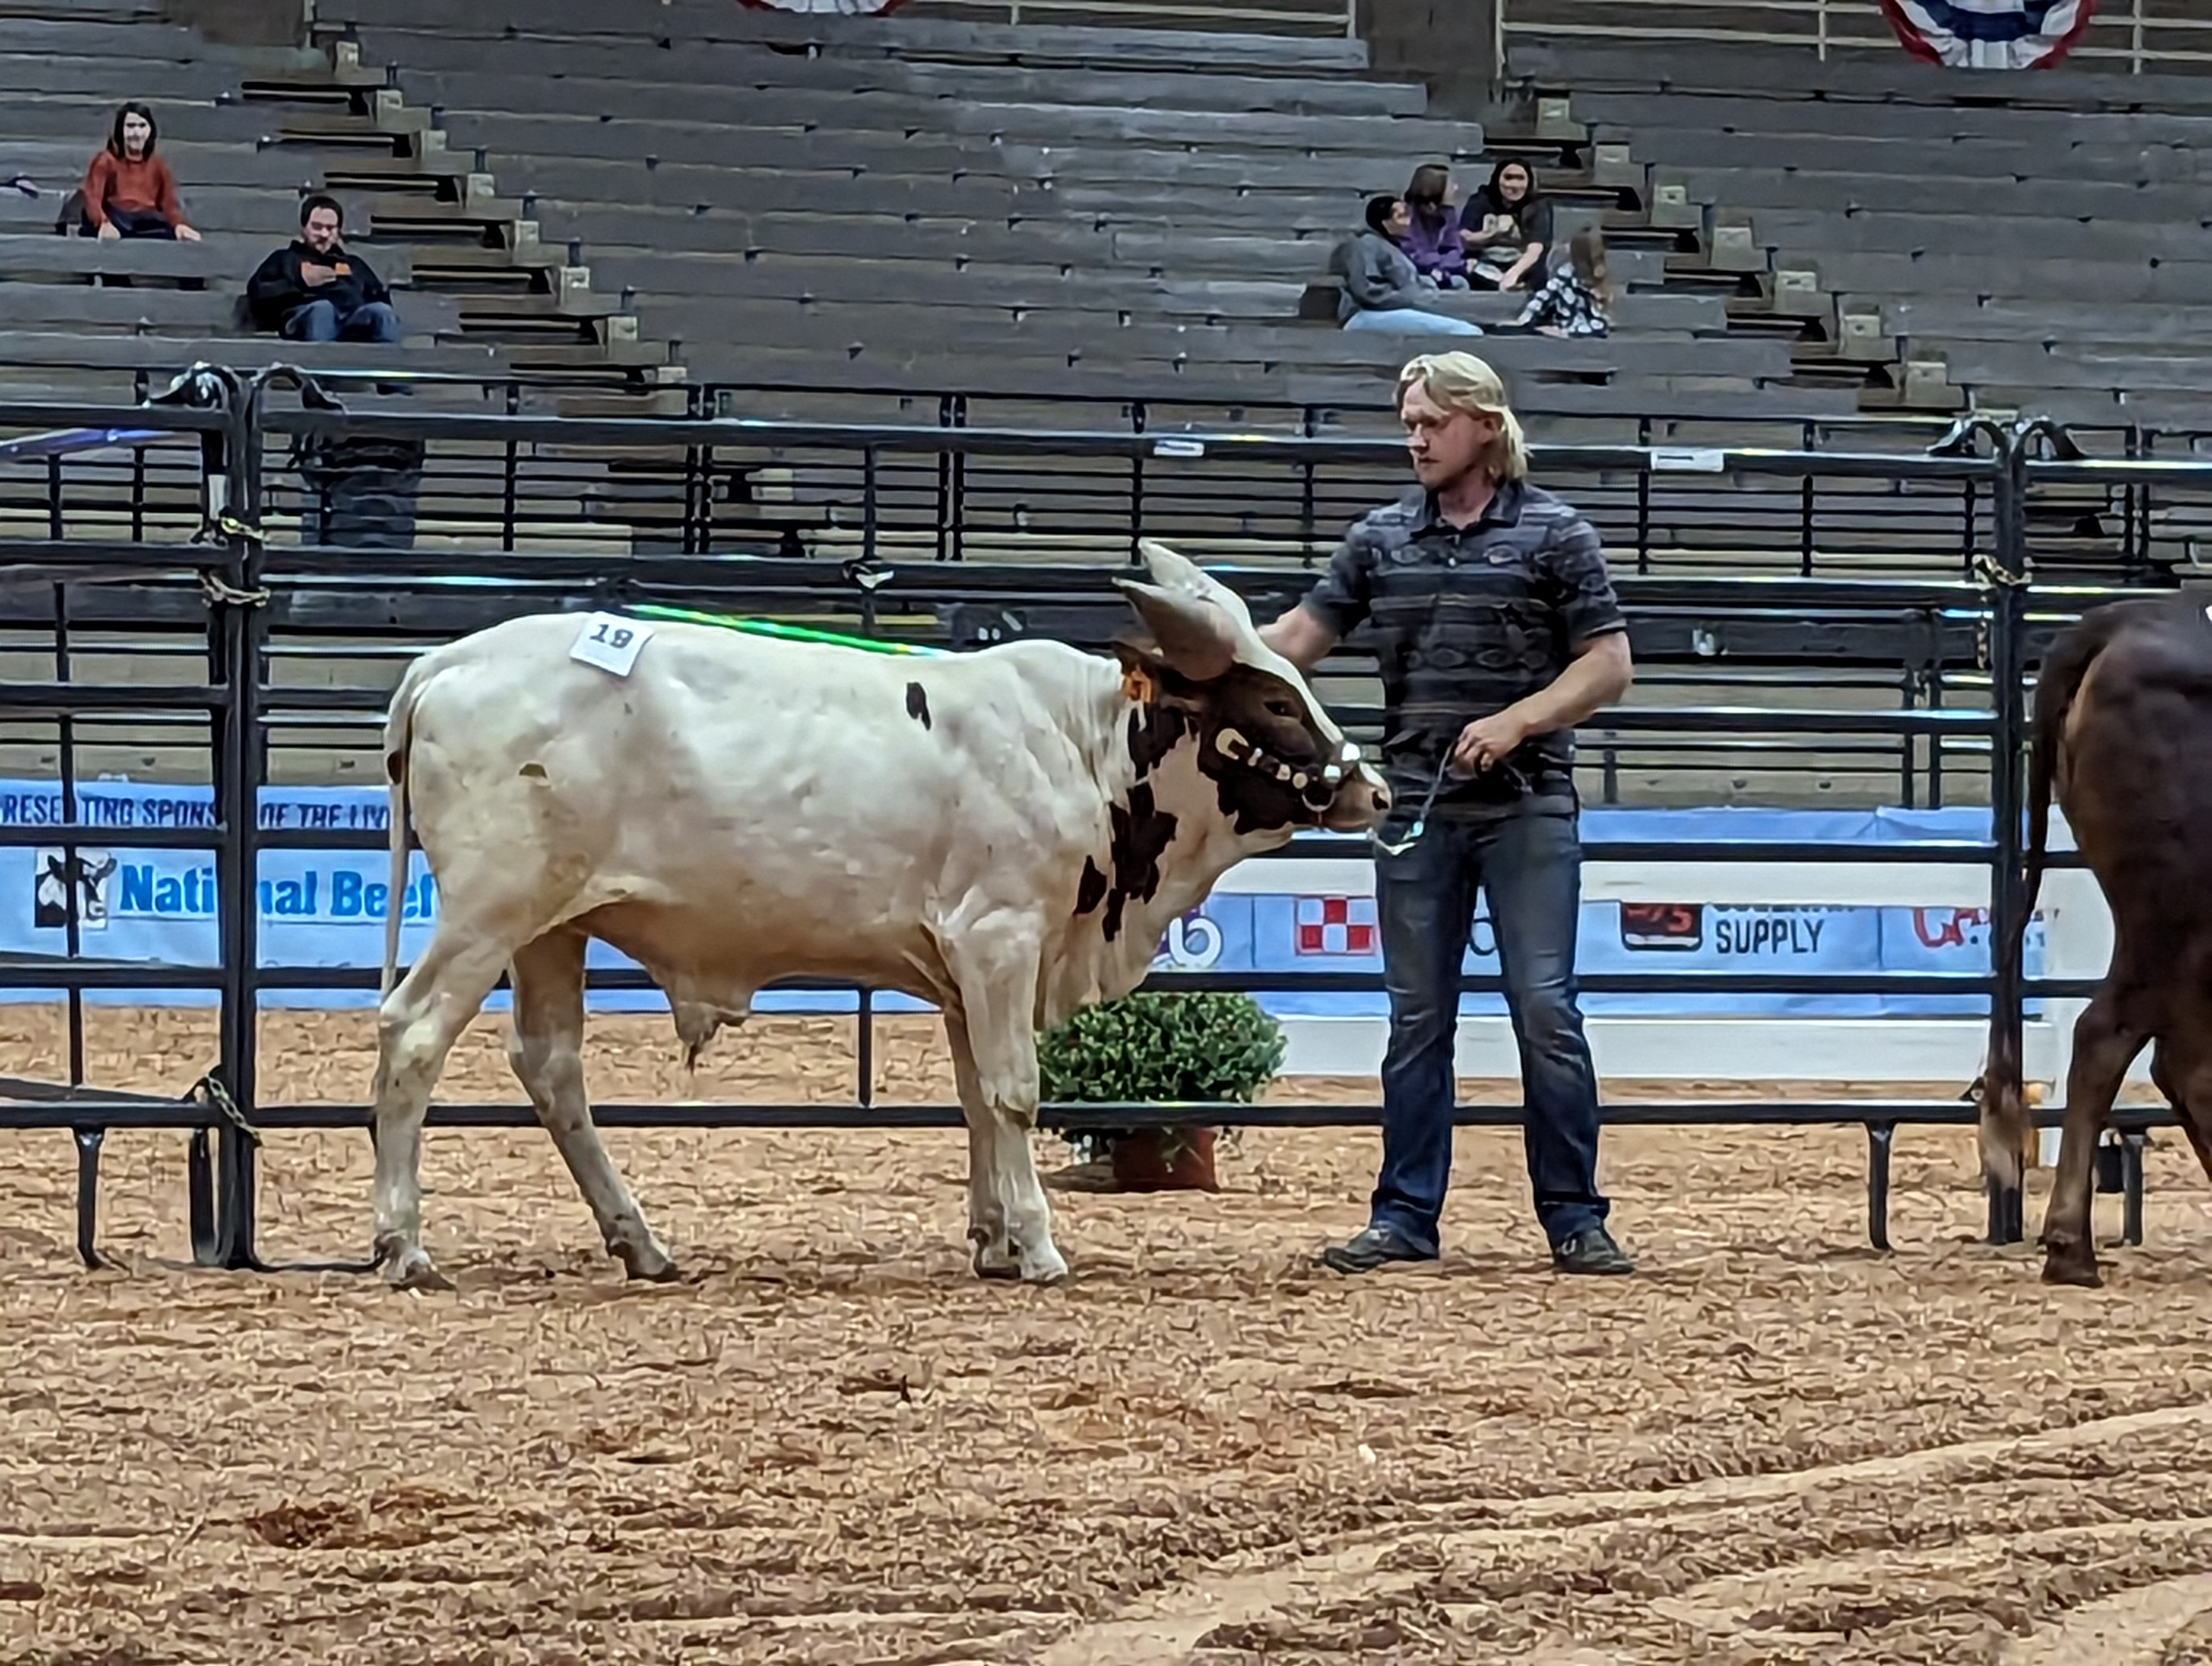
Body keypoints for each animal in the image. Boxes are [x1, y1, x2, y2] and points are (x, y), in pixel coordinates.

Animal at [371, 546, 1389, 1283]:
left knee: (551, 1068)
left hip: (553, 930)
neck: (1081, 746)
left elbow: (976, 1097)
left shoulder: (965, 970)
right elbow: (1014, 1092)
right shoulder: (1001, 937)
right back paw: (402, 1244)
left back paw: (642, 1244)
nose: (1373, 791)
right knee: (413, 1034)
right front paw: (1039, 1247)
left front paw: (992, 1241)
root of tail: (444, 662)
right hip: (490, 912)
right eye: (1272, 699)